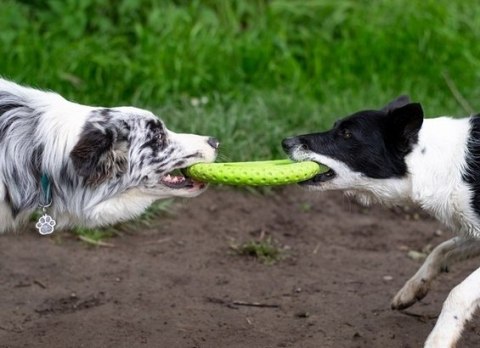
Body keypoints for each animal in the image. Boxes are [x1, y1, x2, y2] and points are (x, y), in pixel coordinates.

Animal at [284, 96, 480, 348]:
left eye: (346, 133)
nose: (285, 142)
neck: (440, 163)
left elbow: (458, 293)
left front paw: (439, 339)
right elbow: (439, 250)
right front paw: (412, 289)